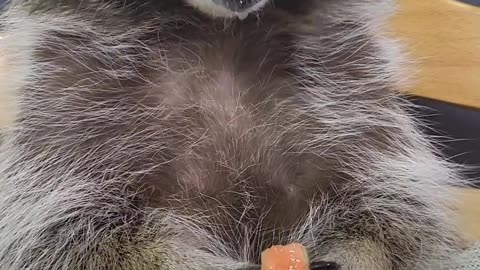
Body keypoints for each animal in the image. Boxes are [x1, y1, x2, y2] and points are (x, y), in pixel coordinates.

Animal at [0, 0, 466, 268]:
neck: (220, 31)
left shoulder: (352, 96)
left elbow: (394, 208)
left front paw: (364, 252)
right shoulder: (69, 115)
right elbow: (73, 236)